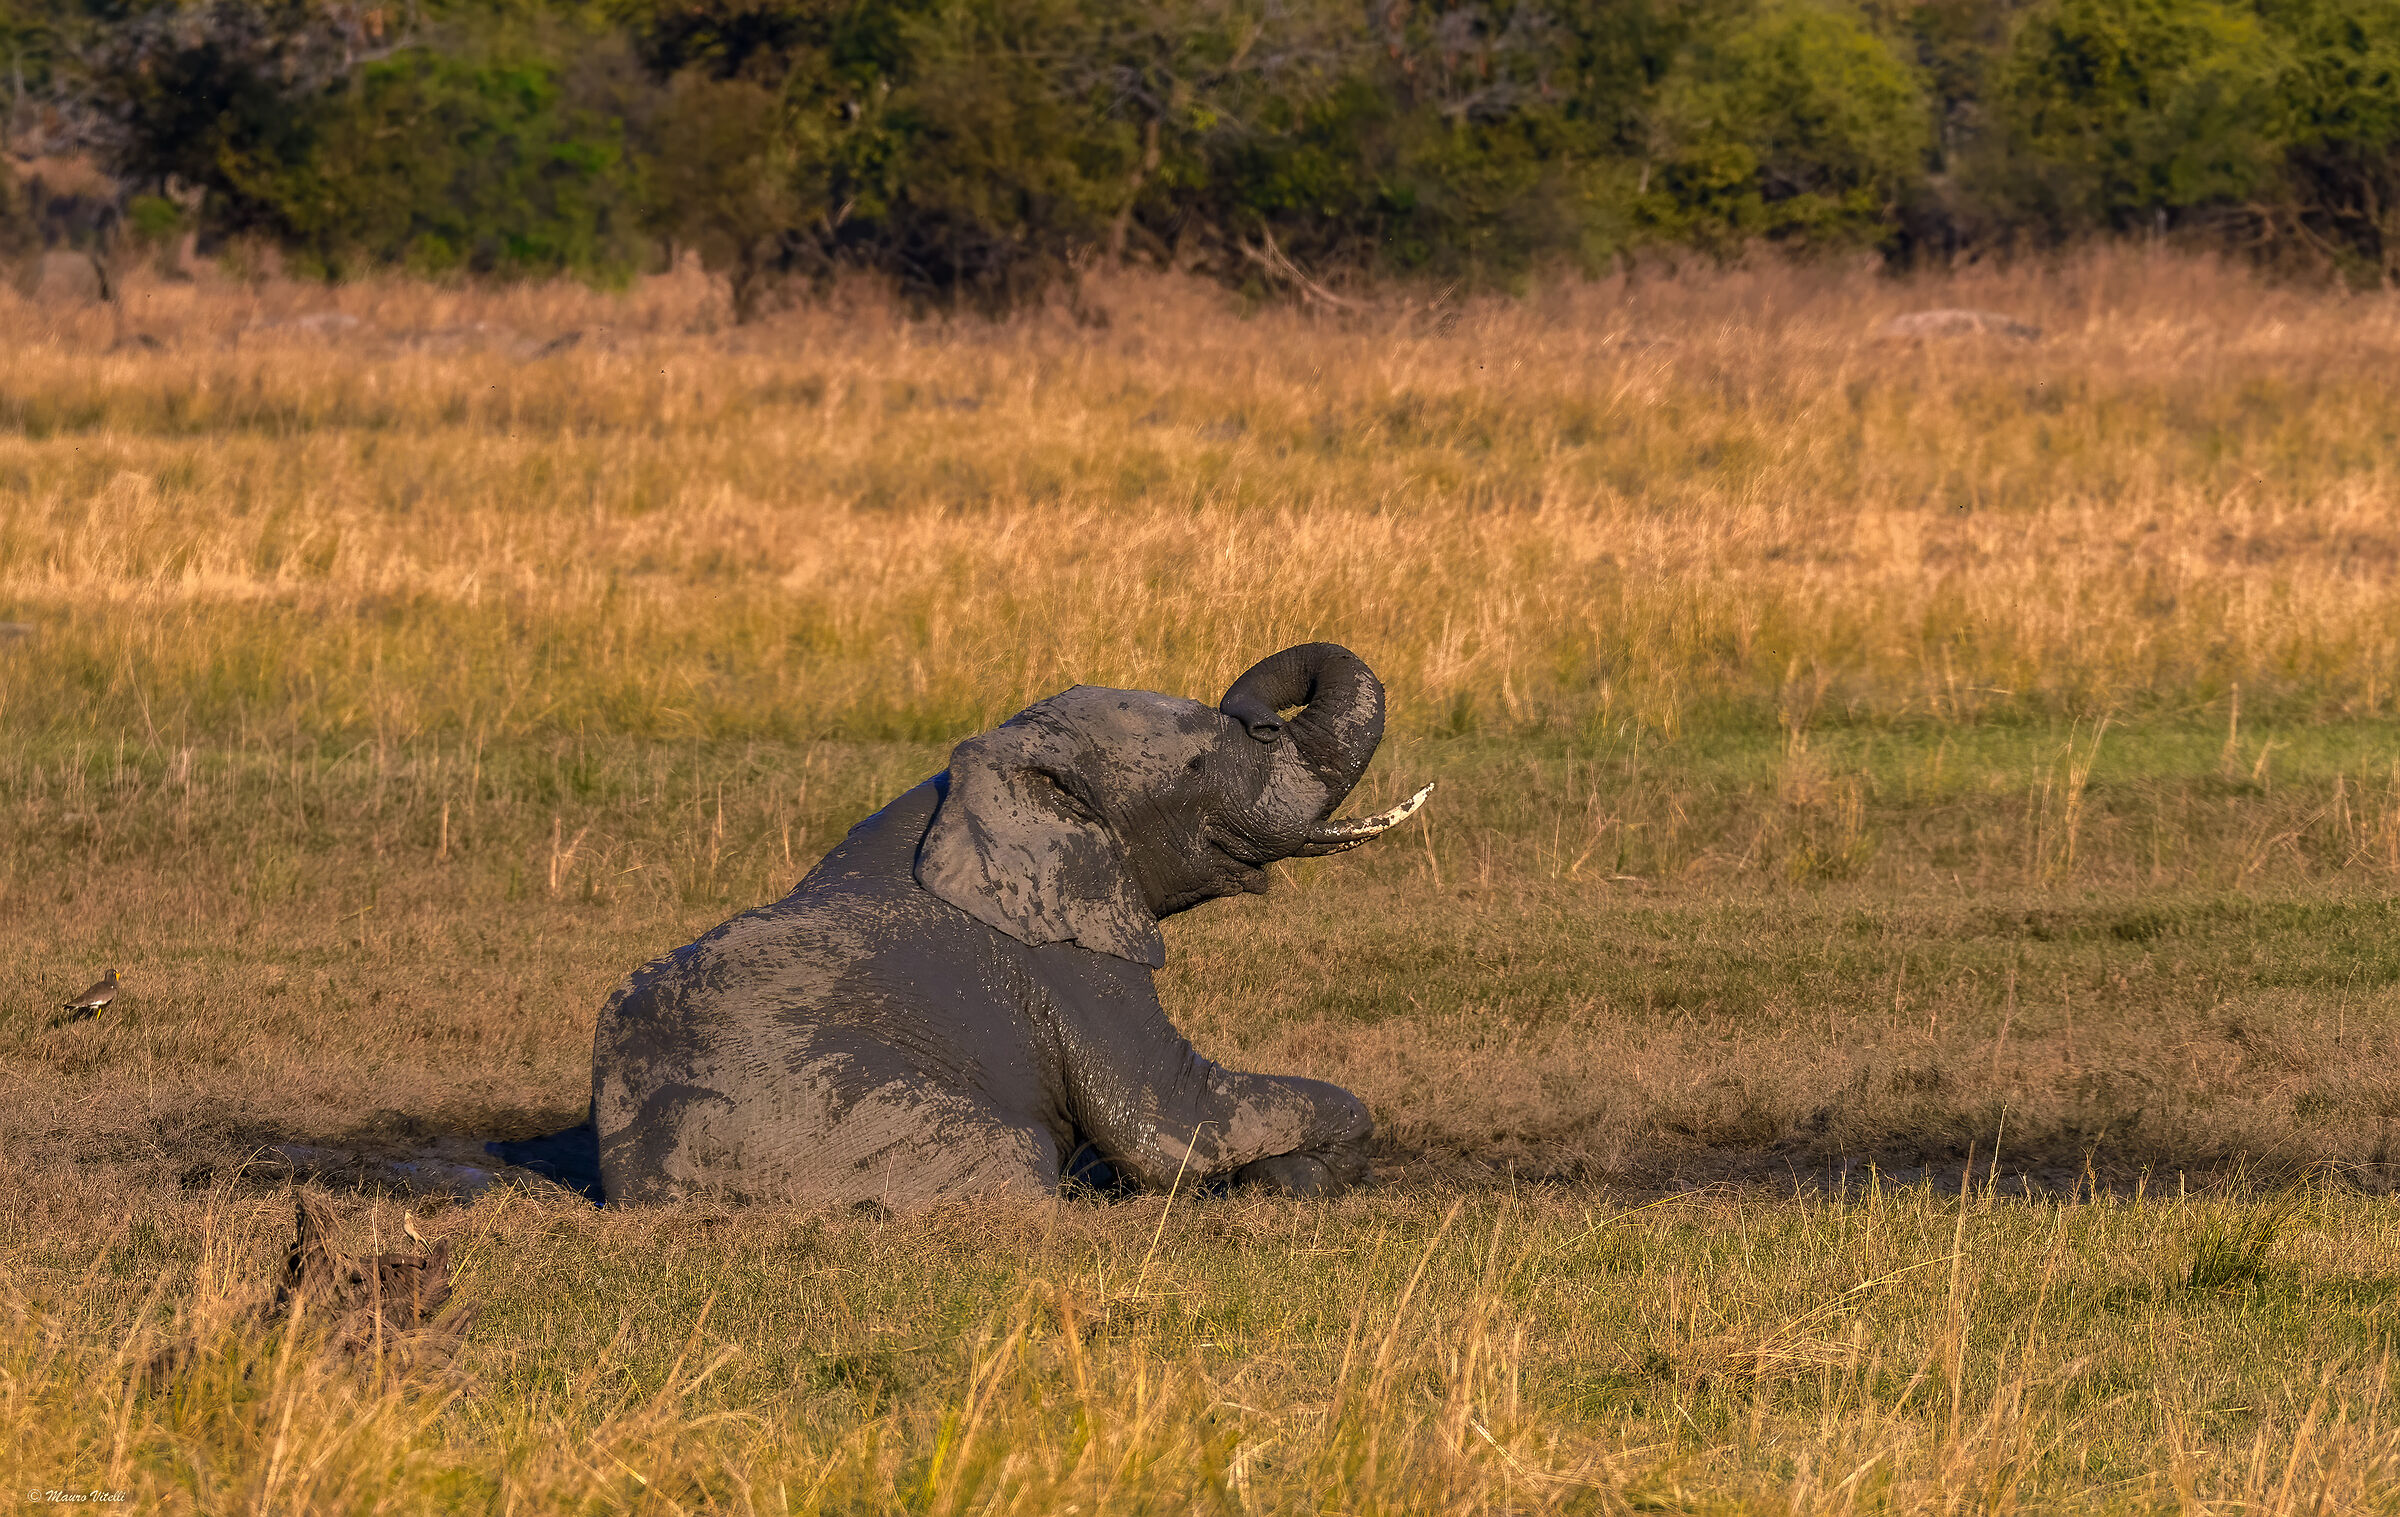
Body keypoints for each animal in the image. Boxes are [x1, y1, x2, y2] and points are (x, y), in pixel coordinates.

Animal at [540, 643, 1431, 1211]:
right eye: (1198, 766)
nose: (1262, 718)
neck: (996, 762)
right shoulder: (1068, 956)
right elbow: (1170, 1120)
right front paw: (1288, 1180)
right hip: (801, 1111)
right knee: (1013, 1156)